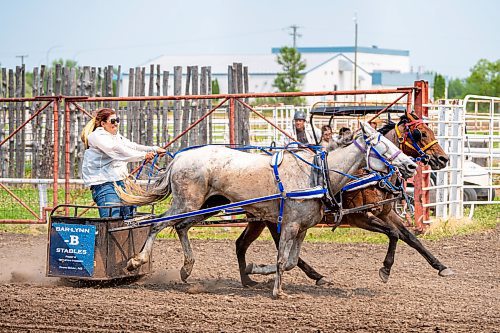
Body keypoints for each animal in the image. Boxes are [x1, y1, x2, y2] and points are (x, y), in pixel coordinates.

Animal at [119, 121, 416, 296]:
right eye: (382, 145)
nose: (412, 165)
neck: (317, 174)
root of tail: (179, 157)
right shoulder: (290, 225)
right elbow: (283, 259)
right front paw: (277, 291)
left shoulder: (302, 228)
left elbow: (290, 261)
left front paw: (255, 270)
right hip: (187, 202)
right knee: (157, 224)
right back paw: (137, 261)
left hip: (205, 206)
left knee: (180, 226)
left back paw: (187, 269)